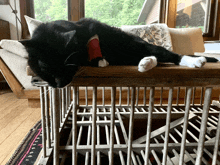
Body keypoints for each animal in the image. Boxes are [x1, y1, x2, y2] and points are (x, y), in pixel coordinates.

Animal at [19, 18, 217, 88]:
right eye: (45, 66)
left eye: (67, 66)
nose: (59, 85)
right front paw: (99, 60)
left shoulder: (89, 30)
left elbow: (91, 46)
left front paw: (99, 59)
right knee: (154, 59)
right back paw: (145, 63)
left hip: (133, 44)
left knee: (168, 55)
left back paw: (194, 61)